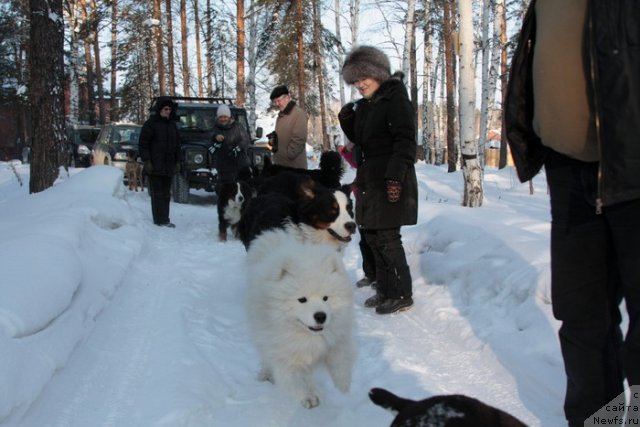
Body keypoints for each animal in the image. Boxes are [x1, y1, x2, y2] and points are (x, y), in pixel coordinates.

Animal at [245, 229, 356, 410]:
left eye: (326, 298)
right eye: (302, 300)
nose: (321, 316)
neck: (308, 336)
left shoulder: (339, 336)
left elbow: (340, 360)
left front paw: (343, 386)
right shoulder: (287, 353)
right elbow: (298, 378)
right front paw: (309, 397)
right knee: (266, 357)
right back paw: (266, 374)